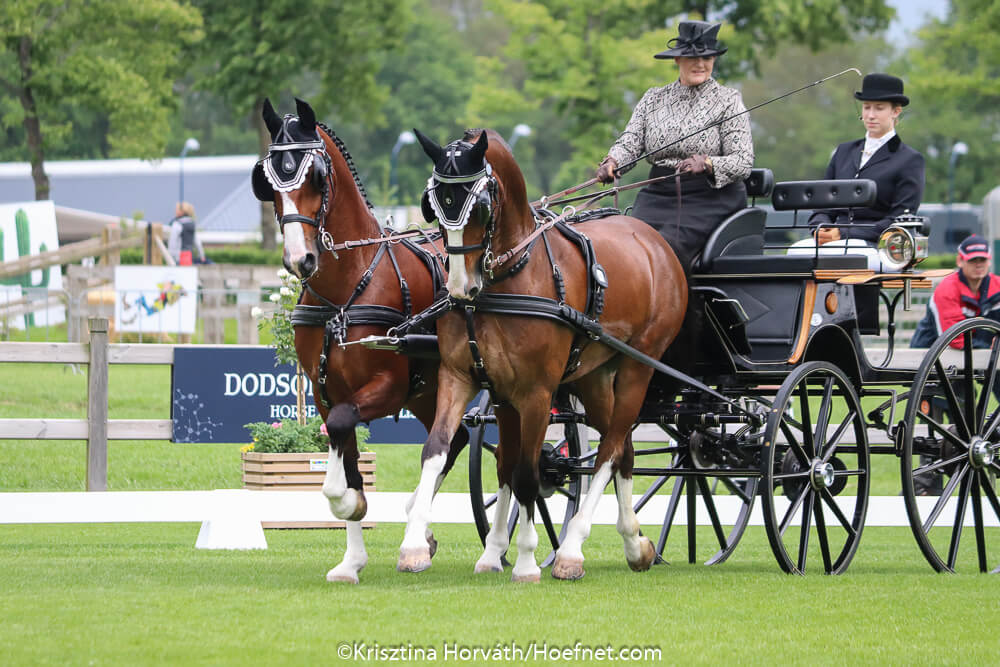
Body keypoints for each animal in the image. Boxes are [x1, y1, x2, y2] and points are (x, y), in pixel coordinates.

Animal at [251, 98, 468, 582]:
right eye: (266, 180)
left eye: (315, 175)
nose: (300, 259)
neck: (347, 288)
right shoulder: (327, 390)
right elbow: (345, 451)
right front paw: (351, 558)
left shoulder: (386, 387)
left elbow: (342, 434)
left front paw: (348, 502)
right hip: (428, 391)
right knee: (457, 439)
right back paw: (421, 527)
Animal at [410, 127, 688, 580]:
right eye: (433, 205)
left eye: (480, 207)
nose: (459, 288)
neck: (510, 276)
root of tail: (651, 239)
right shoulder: (475, 382)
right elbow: (451, 454)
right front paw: (443, 549)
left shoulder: (536, 394)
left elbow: (527, 473)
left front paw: (524, 560)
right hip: (594, 376)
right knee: (623, 449)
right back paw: (635, 544)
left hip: (637, 367)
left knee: (608, 451)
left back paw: (572, 549)